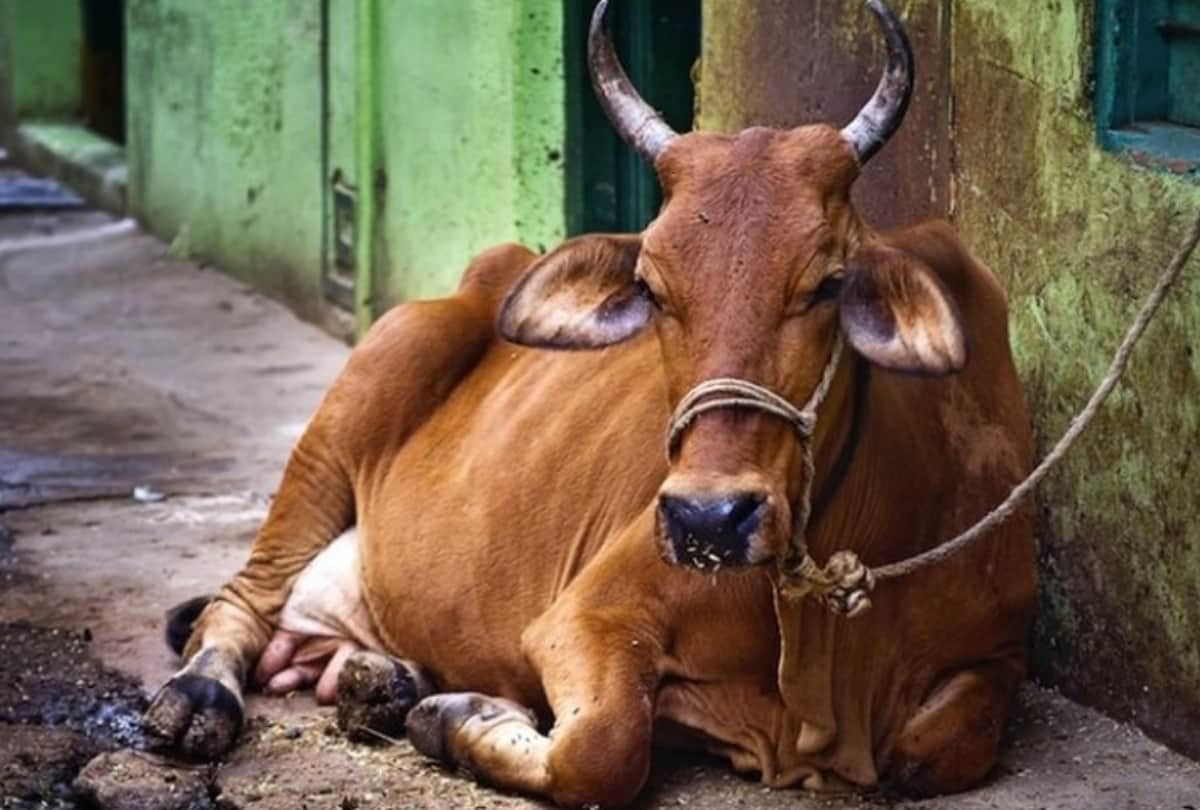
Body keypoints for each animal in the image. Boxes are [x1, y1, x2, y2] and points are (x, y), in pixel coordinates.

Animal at [143, 1, 1036, 805]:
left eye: (827, 283)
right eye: (652, 286)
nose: (710, 520)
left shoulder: (994, 656)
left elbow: (929, 754)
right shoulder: (586, 616)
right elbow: (601, 750)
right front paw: (460, 720)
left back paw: (378, 679)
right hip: (365, 386)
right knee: (243, 597)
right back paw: (204, 698)